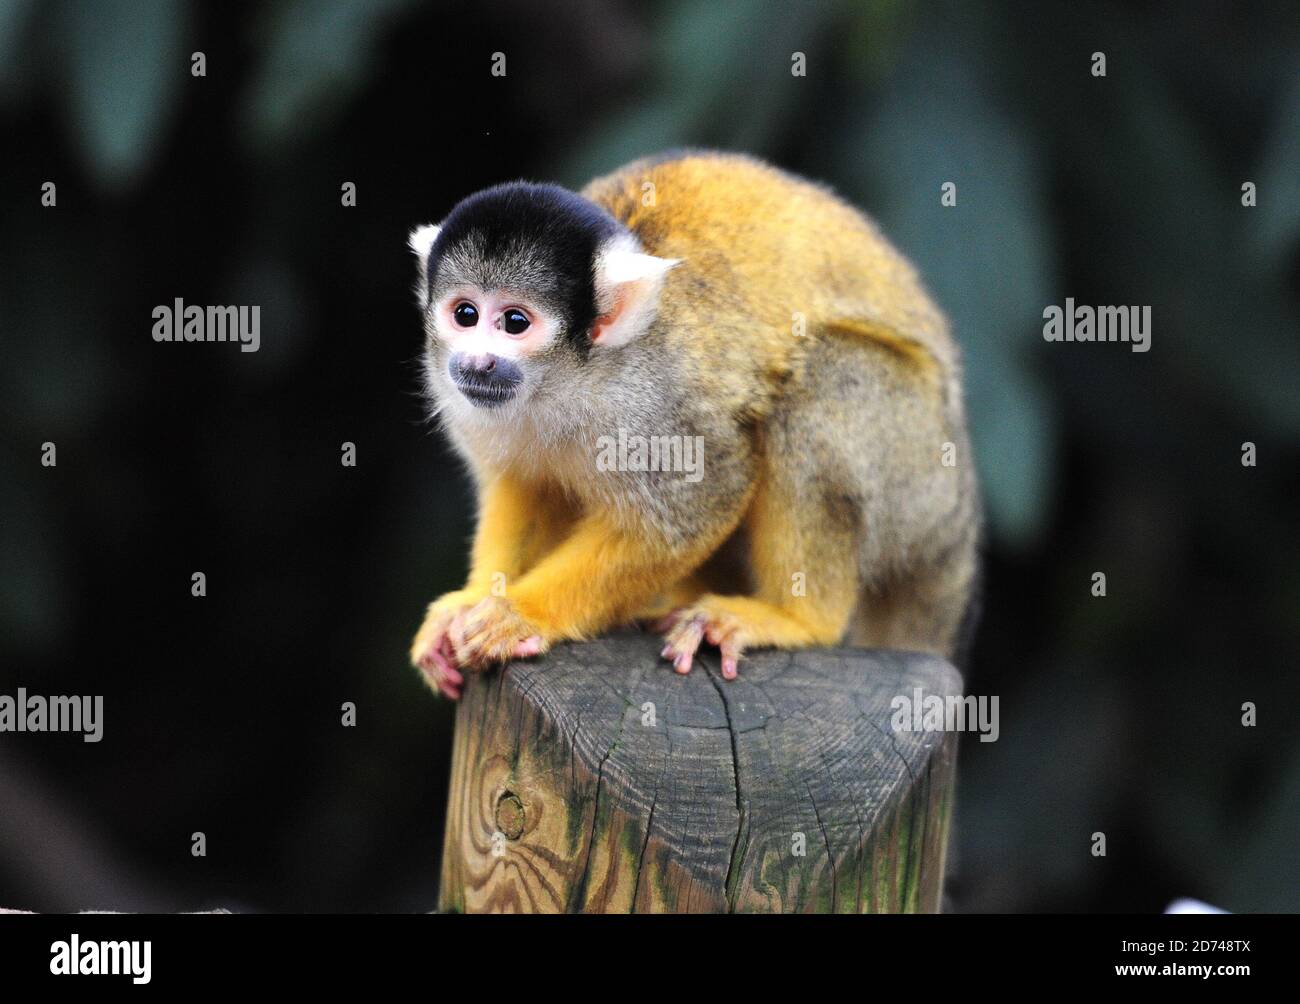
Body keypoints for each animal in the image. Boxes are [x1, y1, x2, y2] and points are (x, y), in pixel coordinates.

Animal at [405, 150, 977, 697]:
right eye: (465, 314)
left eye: (515, 322)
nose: (477, 363)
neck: (568, 379)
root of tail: (960, 511)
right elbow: (523, 482)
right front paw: (470, 602)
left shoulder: (655, 398)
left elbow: (698, 504)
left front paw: (520, 613)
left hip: (917, 472)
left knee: (825, 375)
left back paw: (799, 619)